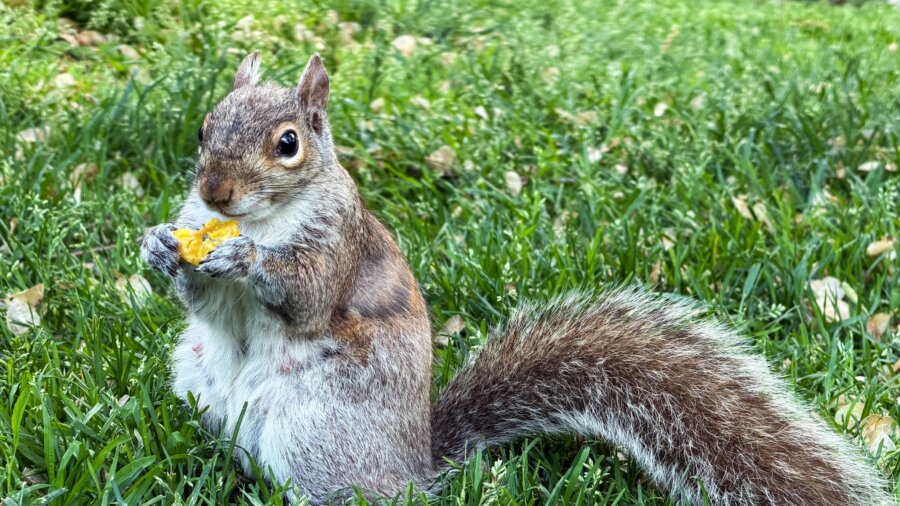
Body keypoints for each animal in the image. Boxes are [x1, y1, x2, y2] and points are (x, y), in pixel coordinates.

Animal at [141, 52, 892, 505]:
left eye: (289, 143)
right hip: (201, 386)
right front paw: (158, 248)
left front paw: (245, 261)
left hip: (316, 430)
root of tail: (412, 465)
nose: (214, 192)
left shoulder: (337, 248)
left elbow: (305, 298)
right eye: (205, 127)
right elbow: (204, 302)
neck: (261, 218)